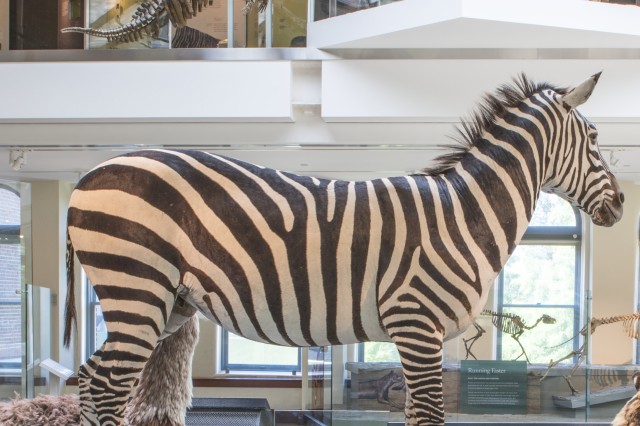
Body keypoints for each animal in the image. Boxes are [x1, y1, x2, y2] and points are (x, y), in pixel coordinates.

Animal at [65, 71, 624, 424]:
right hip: (137, 287)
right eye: (596, 138)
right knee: (110, 385)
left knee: (91, 378)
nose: (621, 203)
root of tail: (88, 175)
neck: (464, 214)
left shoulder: (418, 335)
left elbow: (417, 414)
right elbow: (431, 415)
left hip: (168, 304)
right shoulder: (417, 322)